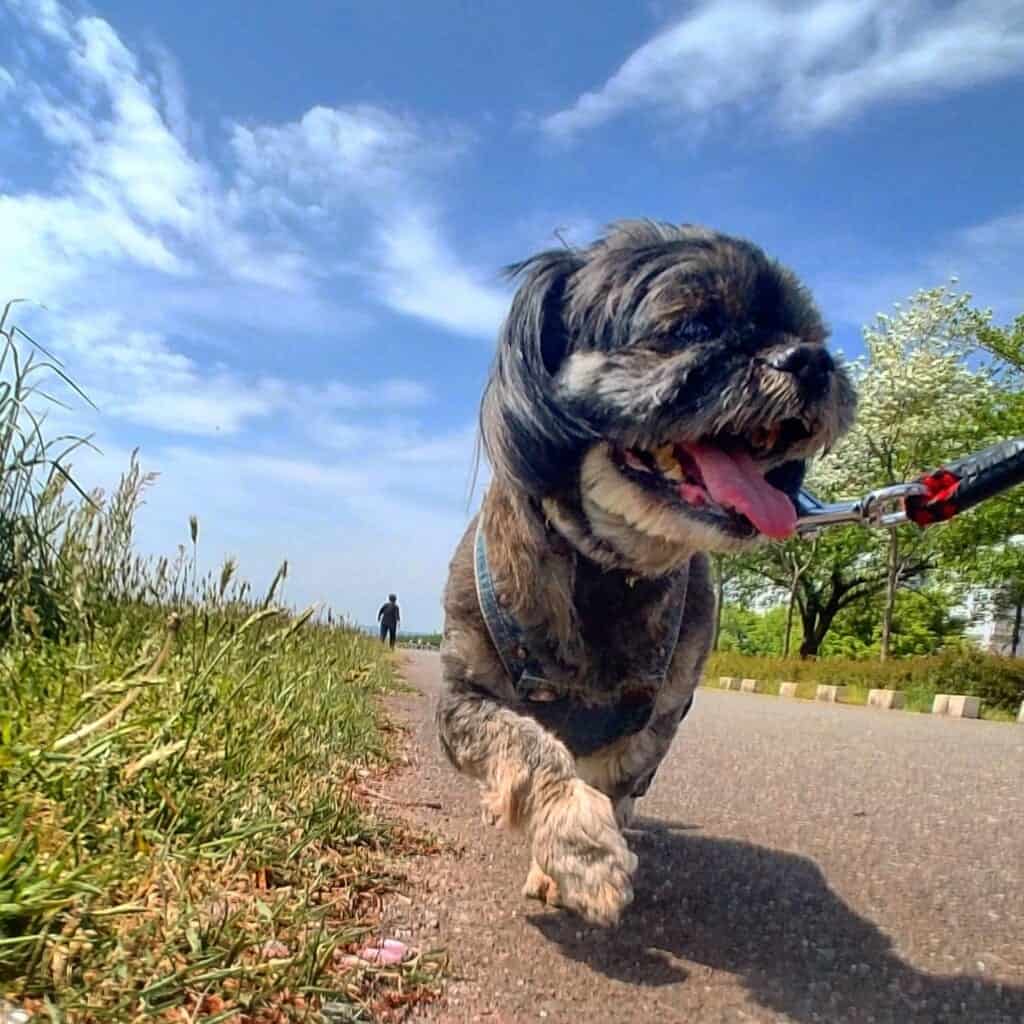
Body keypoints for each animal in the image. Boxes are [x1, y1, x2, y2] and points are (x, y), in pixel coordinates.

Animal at [434, 220, 856, 925]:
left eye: (808, 332)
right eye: (692, 326)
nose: (810, 360)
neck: (603, 568)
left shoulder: (658, 717)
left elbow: (613, 779)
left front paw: (570, 857)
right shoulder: (464, 697)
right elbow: (527, 745)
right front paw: (581, 847)